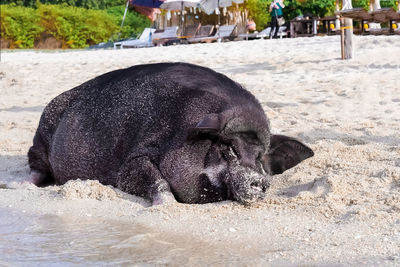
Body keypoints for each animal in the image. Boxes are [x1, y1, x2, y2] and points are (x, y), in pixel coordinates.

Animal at [28, 62, 312, 205]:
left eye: (261, 157)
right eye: (230, 147)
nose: (260, 181)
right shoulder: (133, 161)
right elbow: (157, 182)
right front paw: (166, 206)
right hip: (40, 137)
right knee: (36, 166)